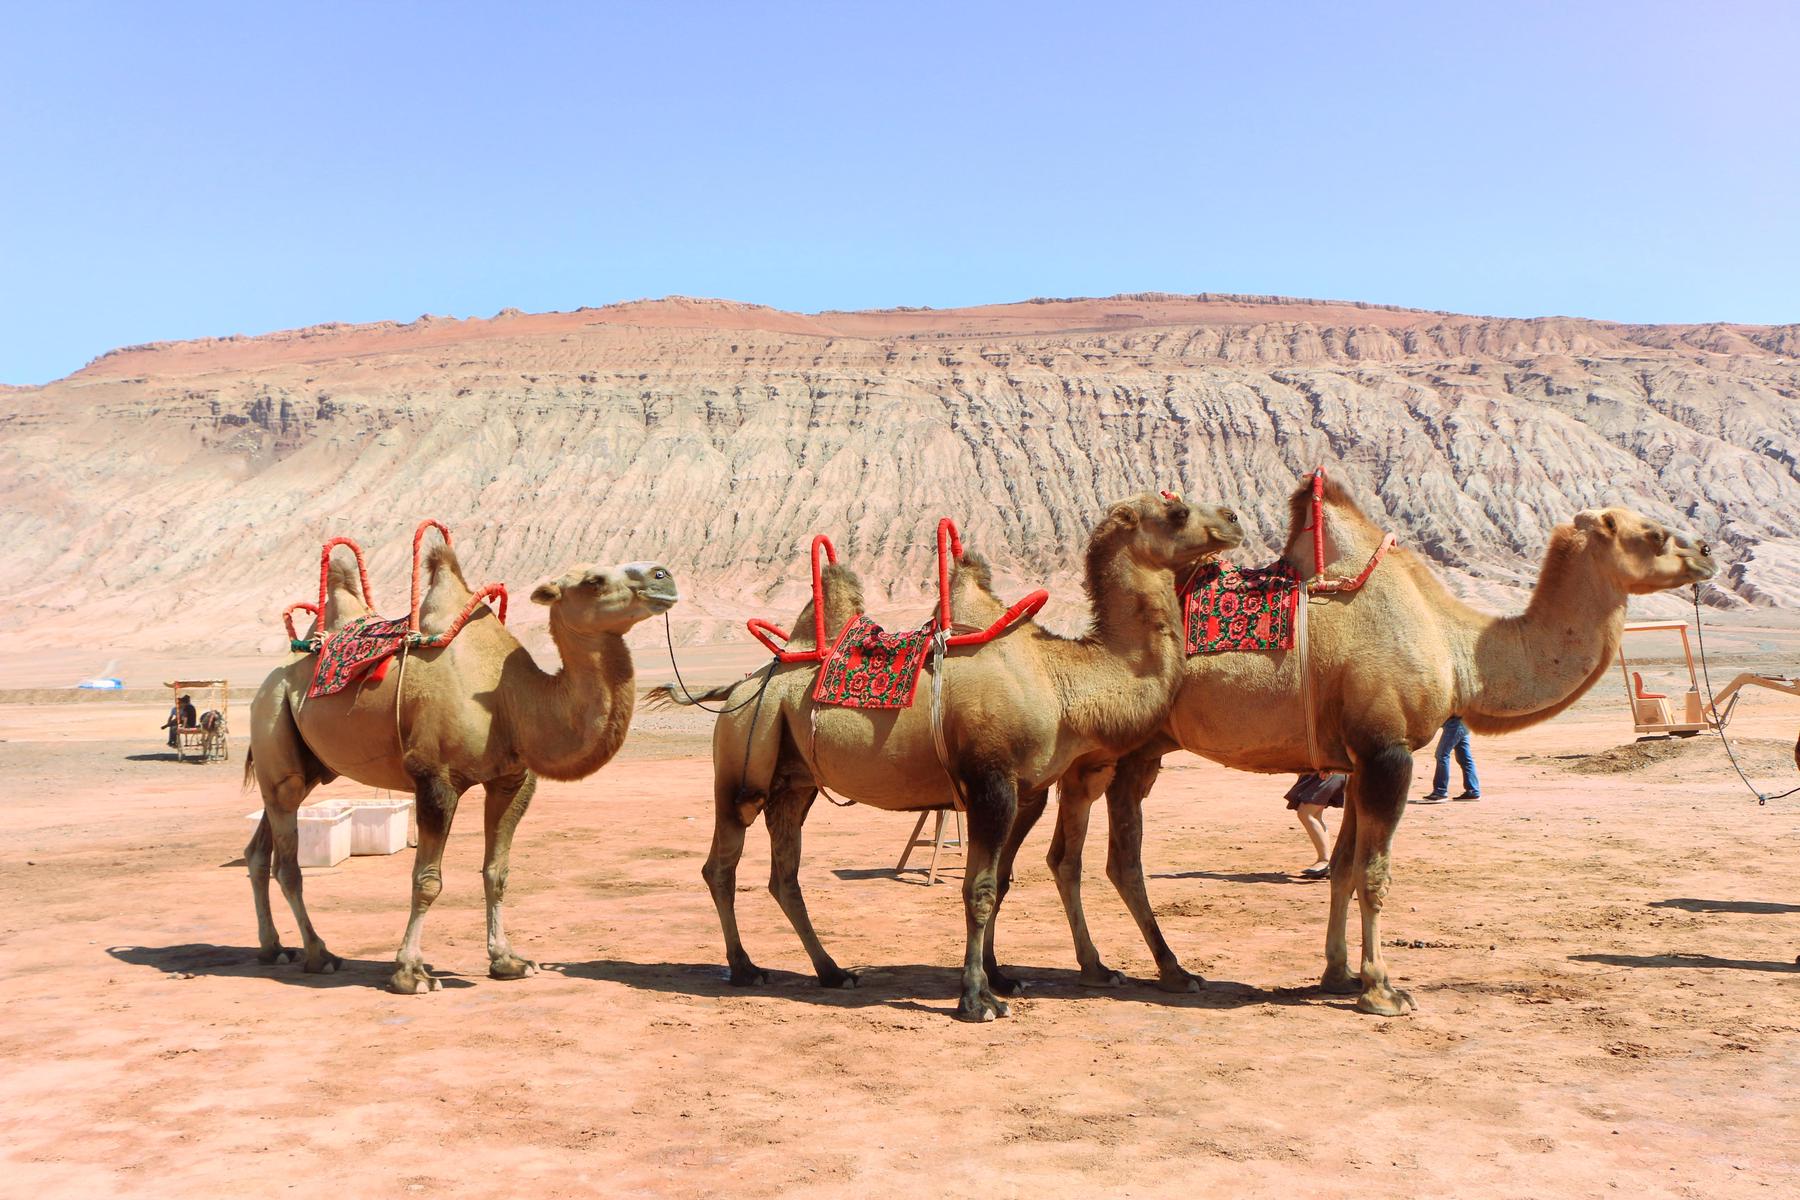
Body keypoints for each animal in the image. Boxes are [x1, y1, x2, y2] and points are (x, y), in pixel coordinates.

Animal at [243, 543, 676, 993]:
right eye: (594, 581)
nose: (663, 576)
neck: (509, 697)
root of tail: (270, 680)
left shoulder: (512, 780)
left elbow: (497, 872)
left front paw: (508, 960)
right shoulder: (435, 778)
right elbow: (427, 880)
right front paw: (411, 973)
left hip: (305, 770)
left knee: (260, 850)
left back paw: (273, 948)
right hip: (273, 727)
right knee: (288, 865)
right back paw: (319, 954)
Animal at [669, 492, 1245, 1021]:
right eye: (1176, 511)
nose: (1234, 519)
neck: (1061, 680)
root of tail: (738, 687)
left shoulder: (1027, 791)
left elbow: (1001, 882)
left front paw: (1002, 977)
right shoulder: (992, 781)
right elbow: (980, 889)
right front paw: (975, 1000)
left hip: (796, 782)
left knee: (783, 874)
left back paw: (833, 973)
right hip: (743, 759)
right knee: (722, 864)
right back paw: (745, 968)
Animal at [1051, 474, 1720, 1021]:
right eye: (1654, 534)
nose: (1708, 551)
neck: (1456, 647)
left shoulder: (1353, 760)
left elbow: (1345, 867)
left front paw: (1338, 975)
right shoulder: (1387, 752)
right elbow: (1375, 872)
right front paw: (1382, 990)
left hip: (1131, 750)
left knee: (1091, 854)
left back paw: (1139, 970)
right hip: (1121, 748)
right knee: (1109, 854)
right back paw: (1137, 969)